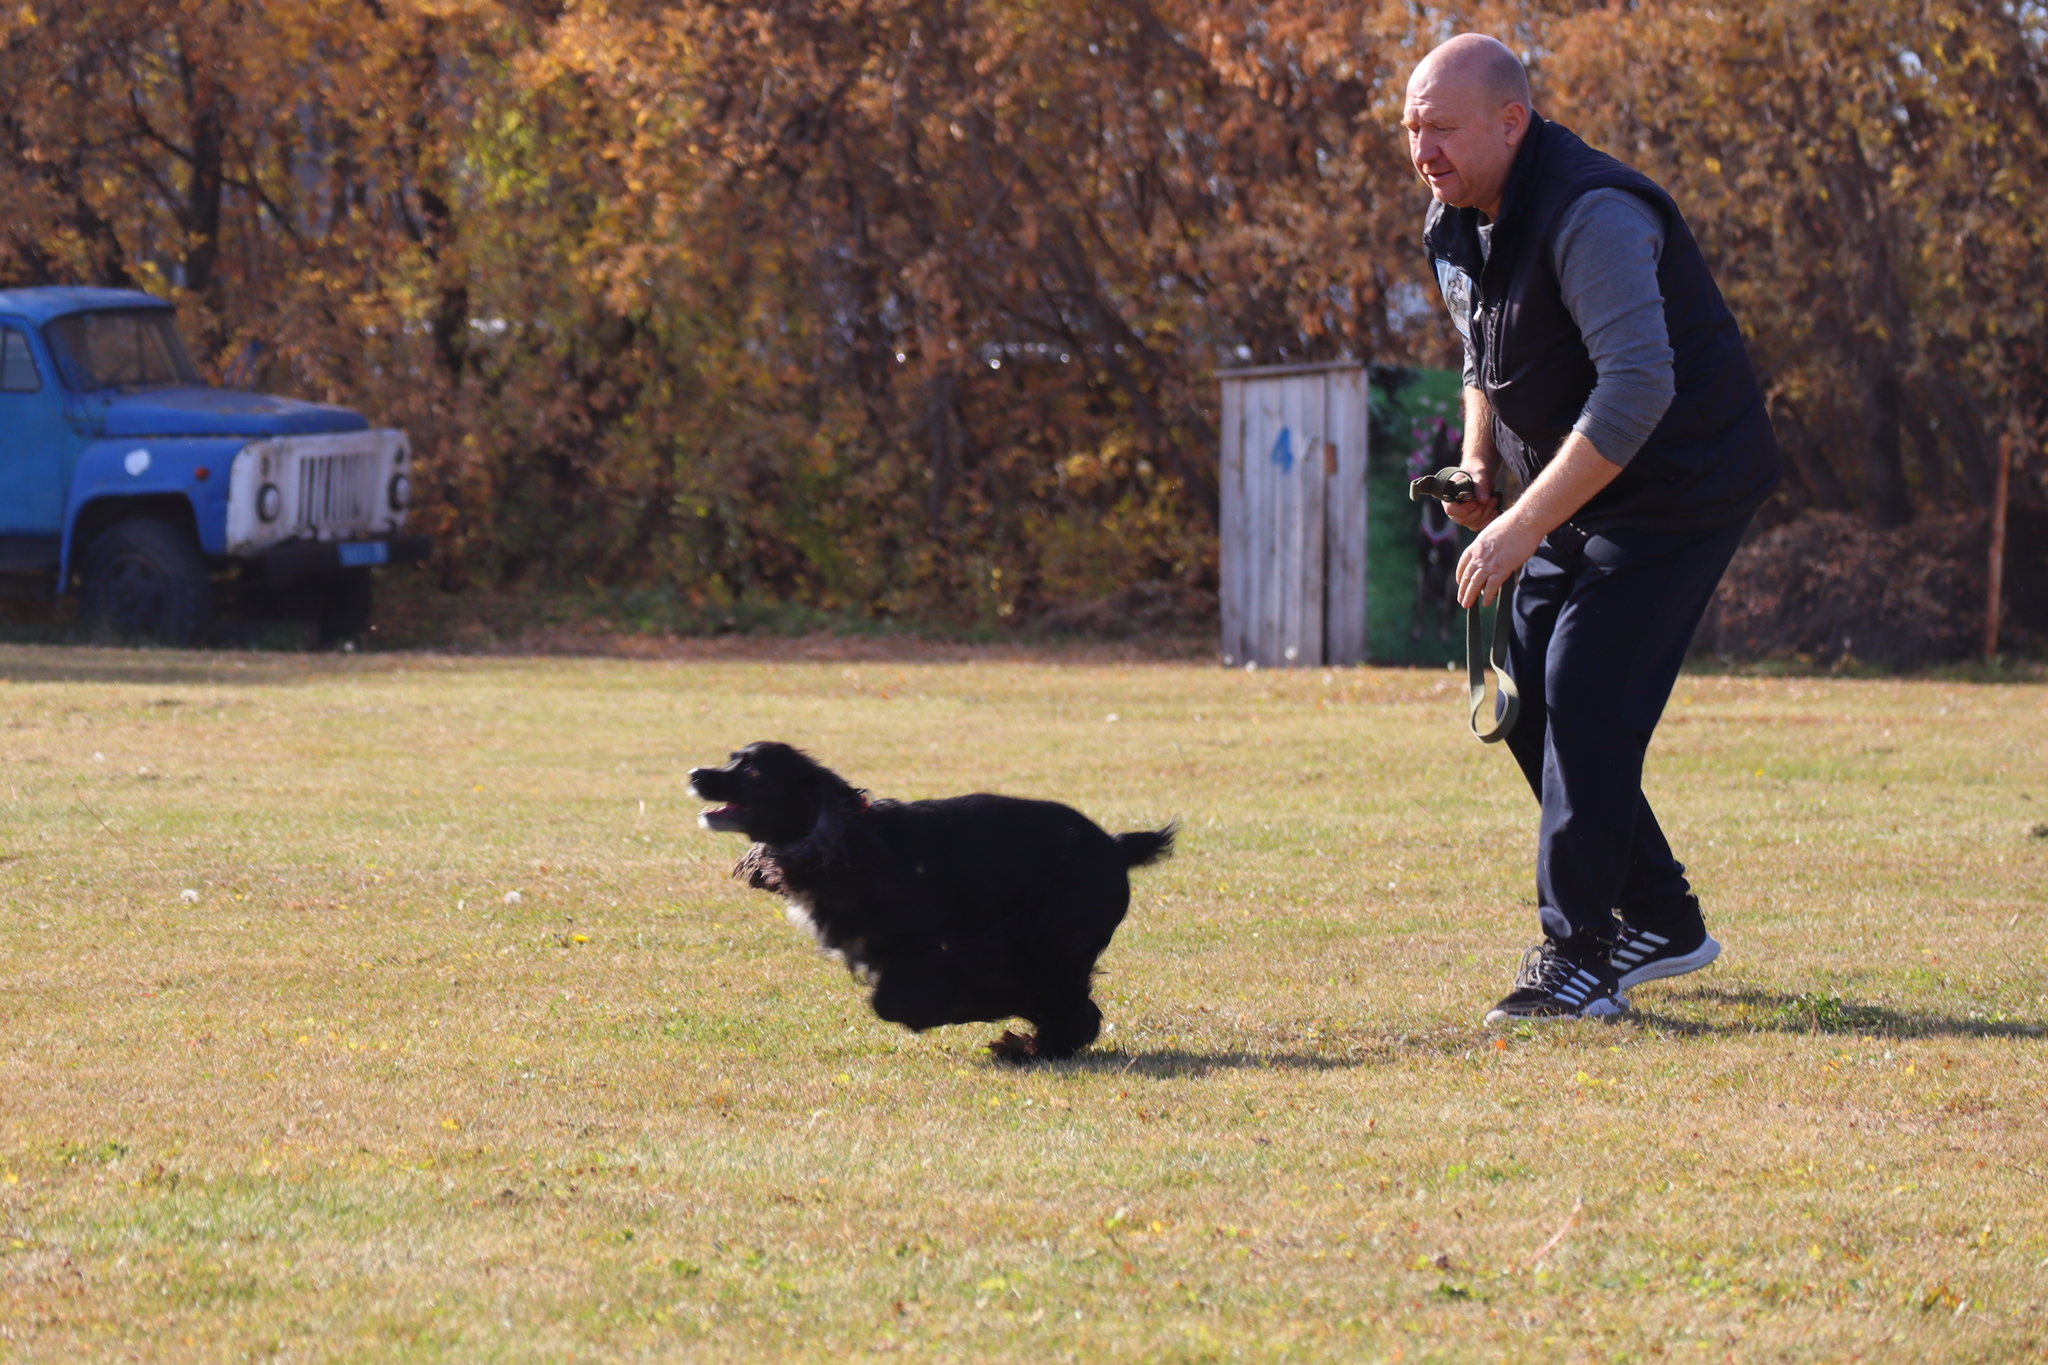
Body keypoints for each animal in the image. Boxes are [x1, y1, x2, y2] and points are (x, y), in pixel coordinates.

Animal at [684, 740, 1171, 1064]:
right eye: (732, 760)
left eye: (754, 773)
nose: (695, 774)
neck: (845, 841)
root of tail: (1114, 846)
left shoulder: (940, 945)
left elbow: (896, 1002)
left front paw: (979, 1007)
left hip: (1056, 937)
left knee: (1072, 1003)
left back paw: (1031, 1044)